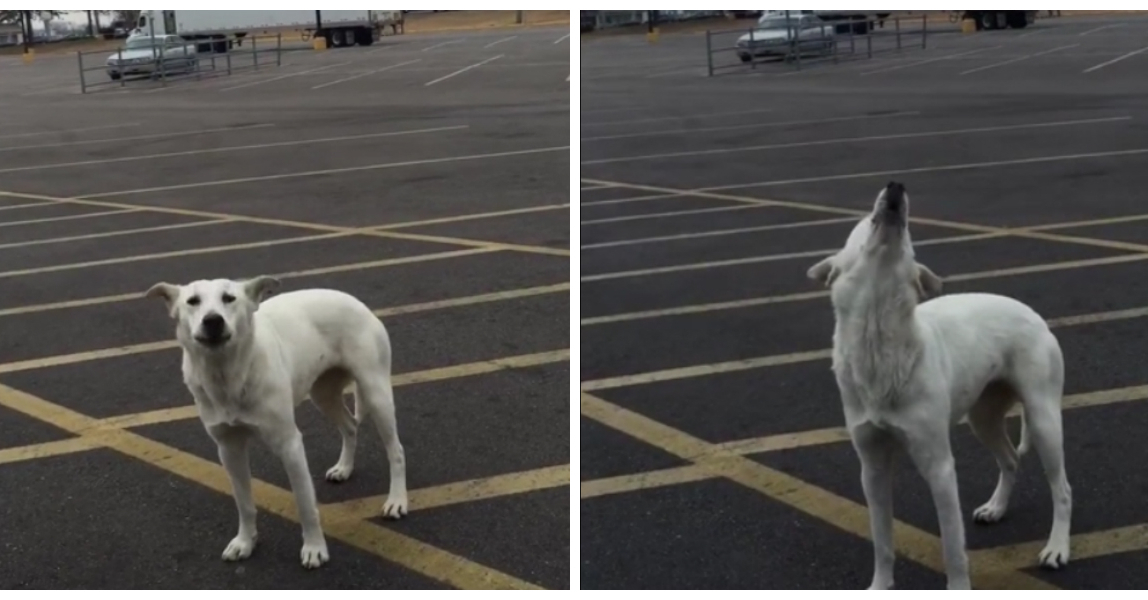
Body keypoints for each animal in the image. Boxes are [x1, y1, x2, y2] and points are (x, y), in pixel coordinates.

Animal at [146, 277, 408, 569]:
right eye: (192, 301)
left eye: (229, 298)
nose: (213, 321)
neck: (228, 375)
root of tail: (357, 302)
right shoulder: (228, 449)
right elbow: (244, 503)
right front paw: (245, 542)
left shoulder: (289, 445)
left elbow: (304, 502)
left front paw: (314, 548)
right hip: (323, 394)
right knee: (350, 425)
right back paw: (344, 468)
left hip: (376, 393)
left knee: (396, 451)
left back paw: (397, 501)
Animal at [808, 183, 1065, 591]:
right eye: (865, 222)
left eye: (910, 235)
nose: (896, 186)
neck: (881, 342)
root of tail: (1032, 313)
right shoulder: (872, 468)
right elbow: (882, 540)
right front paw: (880, 586)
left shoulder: (940, 467)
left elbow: (952, 547)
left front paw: (958, 587)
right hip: (983, 419)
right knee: (1009, 458)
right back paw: (996, 507)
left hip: (1043, 421)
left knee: (1062, 489)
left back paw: (1057, 548)